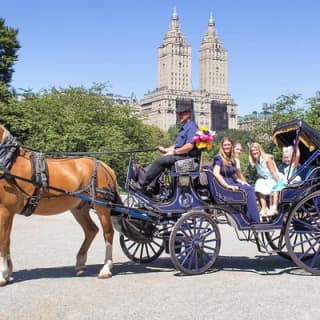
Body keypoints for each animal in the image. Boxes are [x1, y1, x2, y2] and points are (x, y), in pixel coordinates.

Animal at [0, 124, 122, 284]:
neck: (9, 162)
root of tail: (105, 166)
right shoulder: (8, 212)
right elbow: (7, 240)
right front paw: (7, 273)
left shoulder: (5, 210)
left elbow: (3, 240)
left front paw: (2, 275)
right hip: (79, 208)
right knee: (91, 230)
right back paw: (80, 264)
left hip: (101, 207)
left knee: (108, 233)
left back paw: (106, 268)